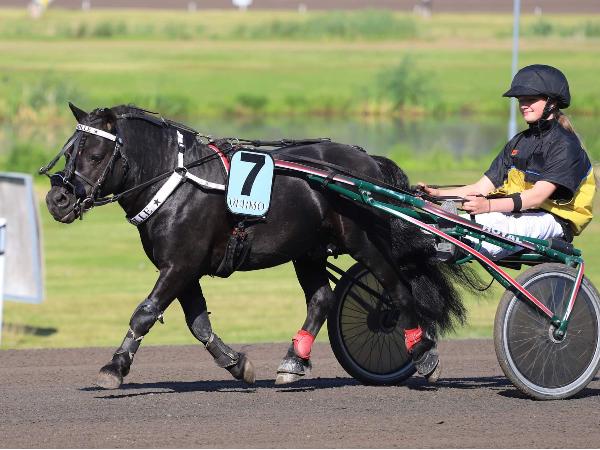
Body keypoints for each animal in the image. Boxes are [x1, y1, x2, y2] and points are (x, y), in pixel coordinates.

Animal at [43, 103, 470, 389]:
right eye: (69, 151)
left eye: (95, 154)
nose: (57, 200)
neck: (177, 180)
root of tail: (368, 163)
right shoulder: (185, 268)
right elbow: (199, 324)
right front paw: (237, 364)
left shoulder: (180, 264)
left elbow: (145, 313)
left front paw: (114, 368)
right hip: (308, 249)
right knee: (322, 300)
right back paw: (293, 362)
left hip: (362, 239)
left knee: (398, 286)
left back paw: (423, 352)